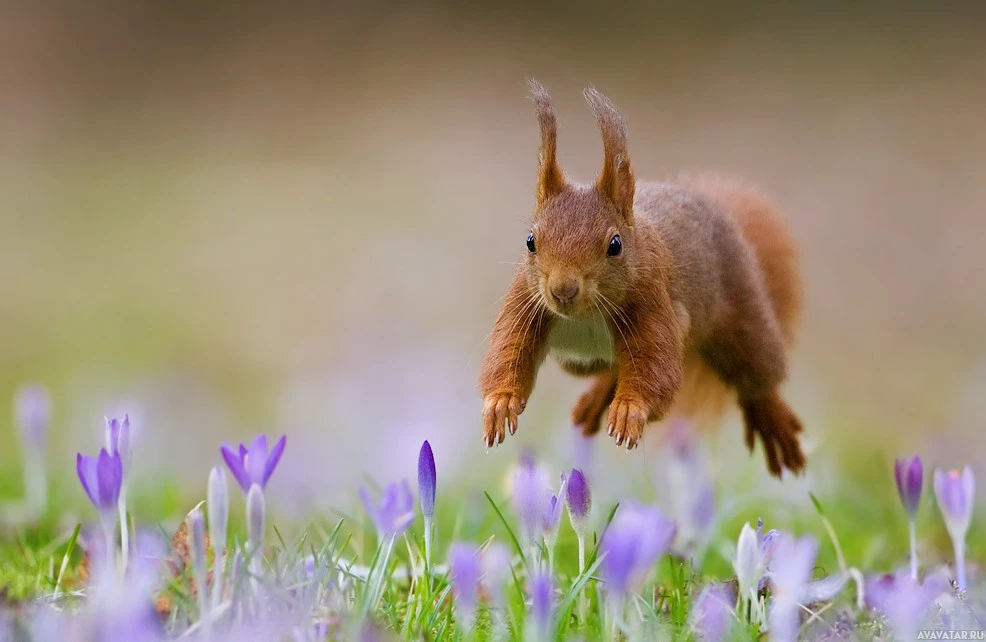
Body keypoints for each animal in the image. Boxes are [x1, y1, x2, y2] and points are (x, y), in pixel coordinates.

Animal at [478, 81, 808, 476]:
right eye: (530, 241)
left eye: (615, 245)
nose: (563, 290)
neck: (586, 316)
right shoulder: (526, 304)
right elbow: (508, 352)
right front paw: (500, 403)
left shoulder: (652, 304)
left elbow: (656, 372)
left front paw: (629, 411)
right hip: (579, 361)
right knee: (612, 369)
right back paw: (595, 400)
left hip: (742, 315)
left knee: (757, 373)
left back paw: (774, 423)